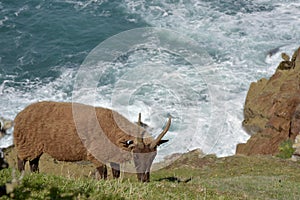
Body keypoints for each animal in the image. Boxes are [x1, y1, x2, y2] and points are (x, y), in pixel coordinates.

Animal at [13, 101, 171, 182]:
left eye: (153, 157)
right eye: (136, 155)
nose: (145, 180)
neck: (113, 129)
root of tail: (20, 114)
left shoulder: (112, 156)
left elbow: (115, 173)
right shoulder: (97, 155)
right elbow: (103, 174)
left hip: (36, 147)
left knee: (34, 163)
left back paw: (36, 176)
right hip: (26, 143)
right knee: (21, 161)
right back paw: (22, 177)